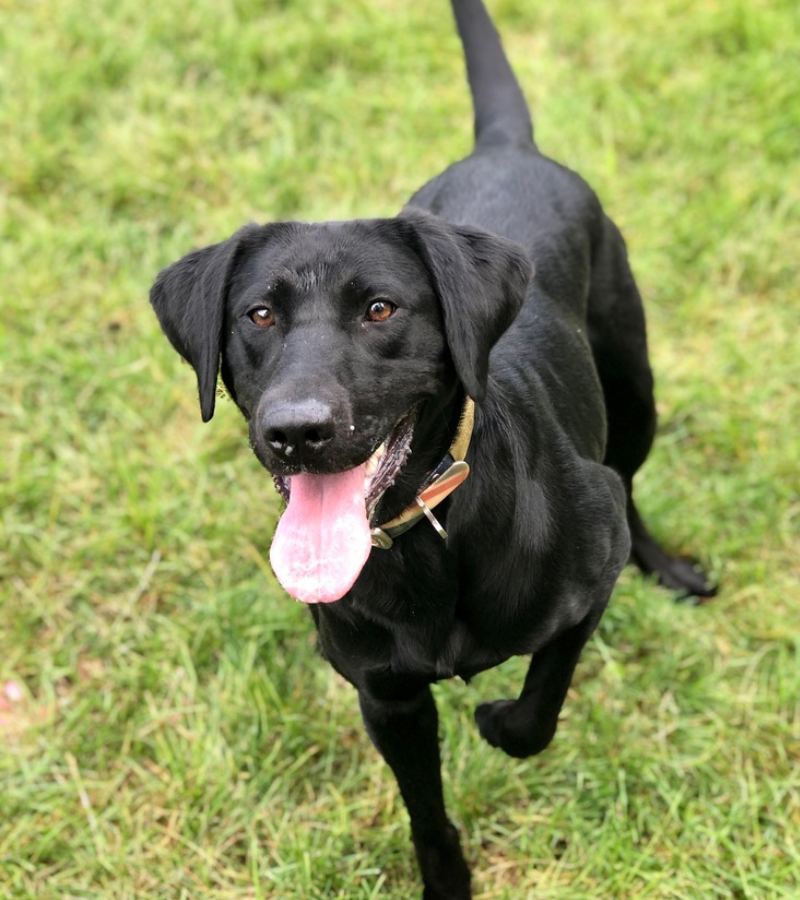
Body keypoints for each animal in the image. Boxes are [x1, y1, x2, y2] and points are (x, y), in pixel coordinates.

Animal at [148, 0, 712, 896]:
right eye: (258, 316)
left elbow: (534, 715)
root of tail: (505, 148)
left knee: (630, 478)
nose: (296, 430)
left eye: (380, 309)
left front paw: (496, 715)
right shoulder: (387, 698)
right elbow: (426, 814)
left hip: (634, 387)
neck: (431, 541)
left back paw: (670, 569)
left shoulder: (586, 584)